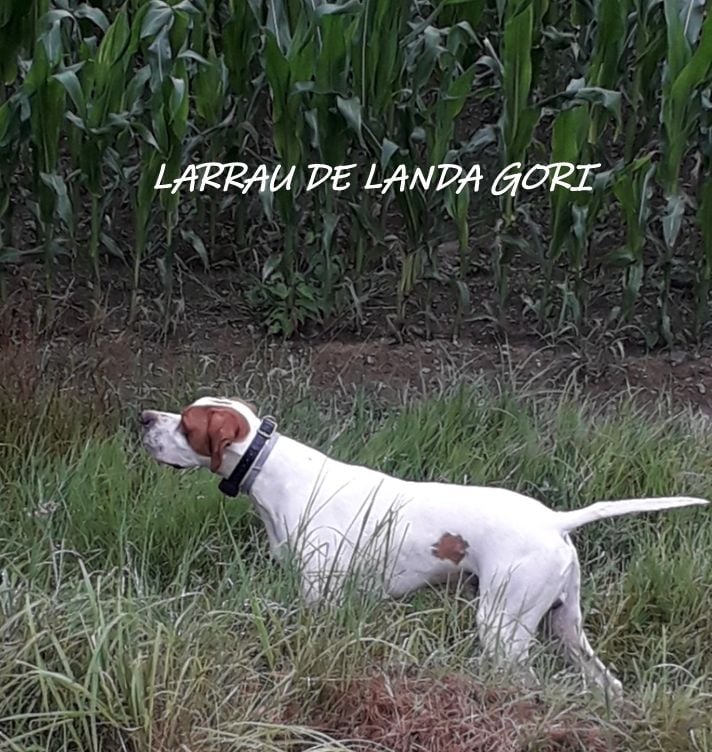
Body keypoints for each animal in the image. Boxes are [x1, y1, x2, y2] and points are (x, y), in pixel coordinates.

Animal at [139, 396, 708, 696]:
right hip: (566, 627)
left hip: (503, 626)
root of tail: (555, 520)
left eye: (186, 423)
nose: (144, 417)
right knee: (607, 683)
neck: (274, 473)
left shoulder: (319, 596)